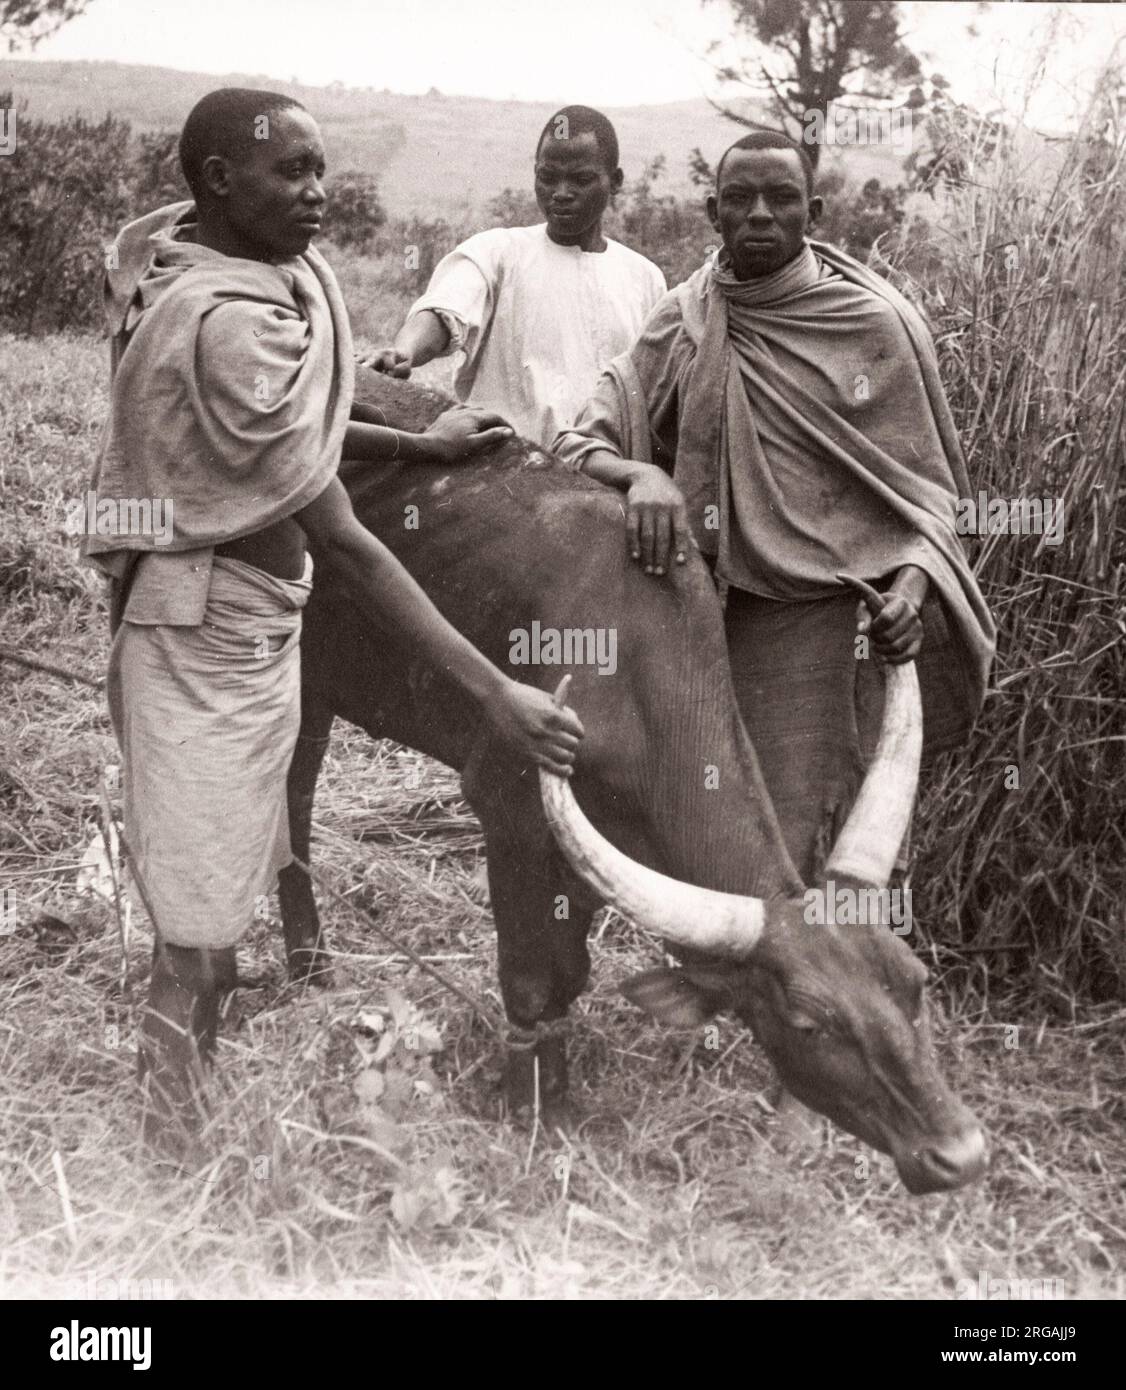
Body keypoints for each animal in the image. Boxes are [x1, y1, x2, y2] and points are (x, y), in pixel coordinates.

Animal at [280, 369, 984, 1195]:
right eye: (810, 1023)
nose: (958, 1152)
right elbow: (533, 977)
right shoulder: (510, 819)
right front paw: (532, 1104)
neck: (641, 678)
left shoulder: (587, 859)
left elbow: (572, 973)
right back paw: (308, 963)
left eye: (915, 984)